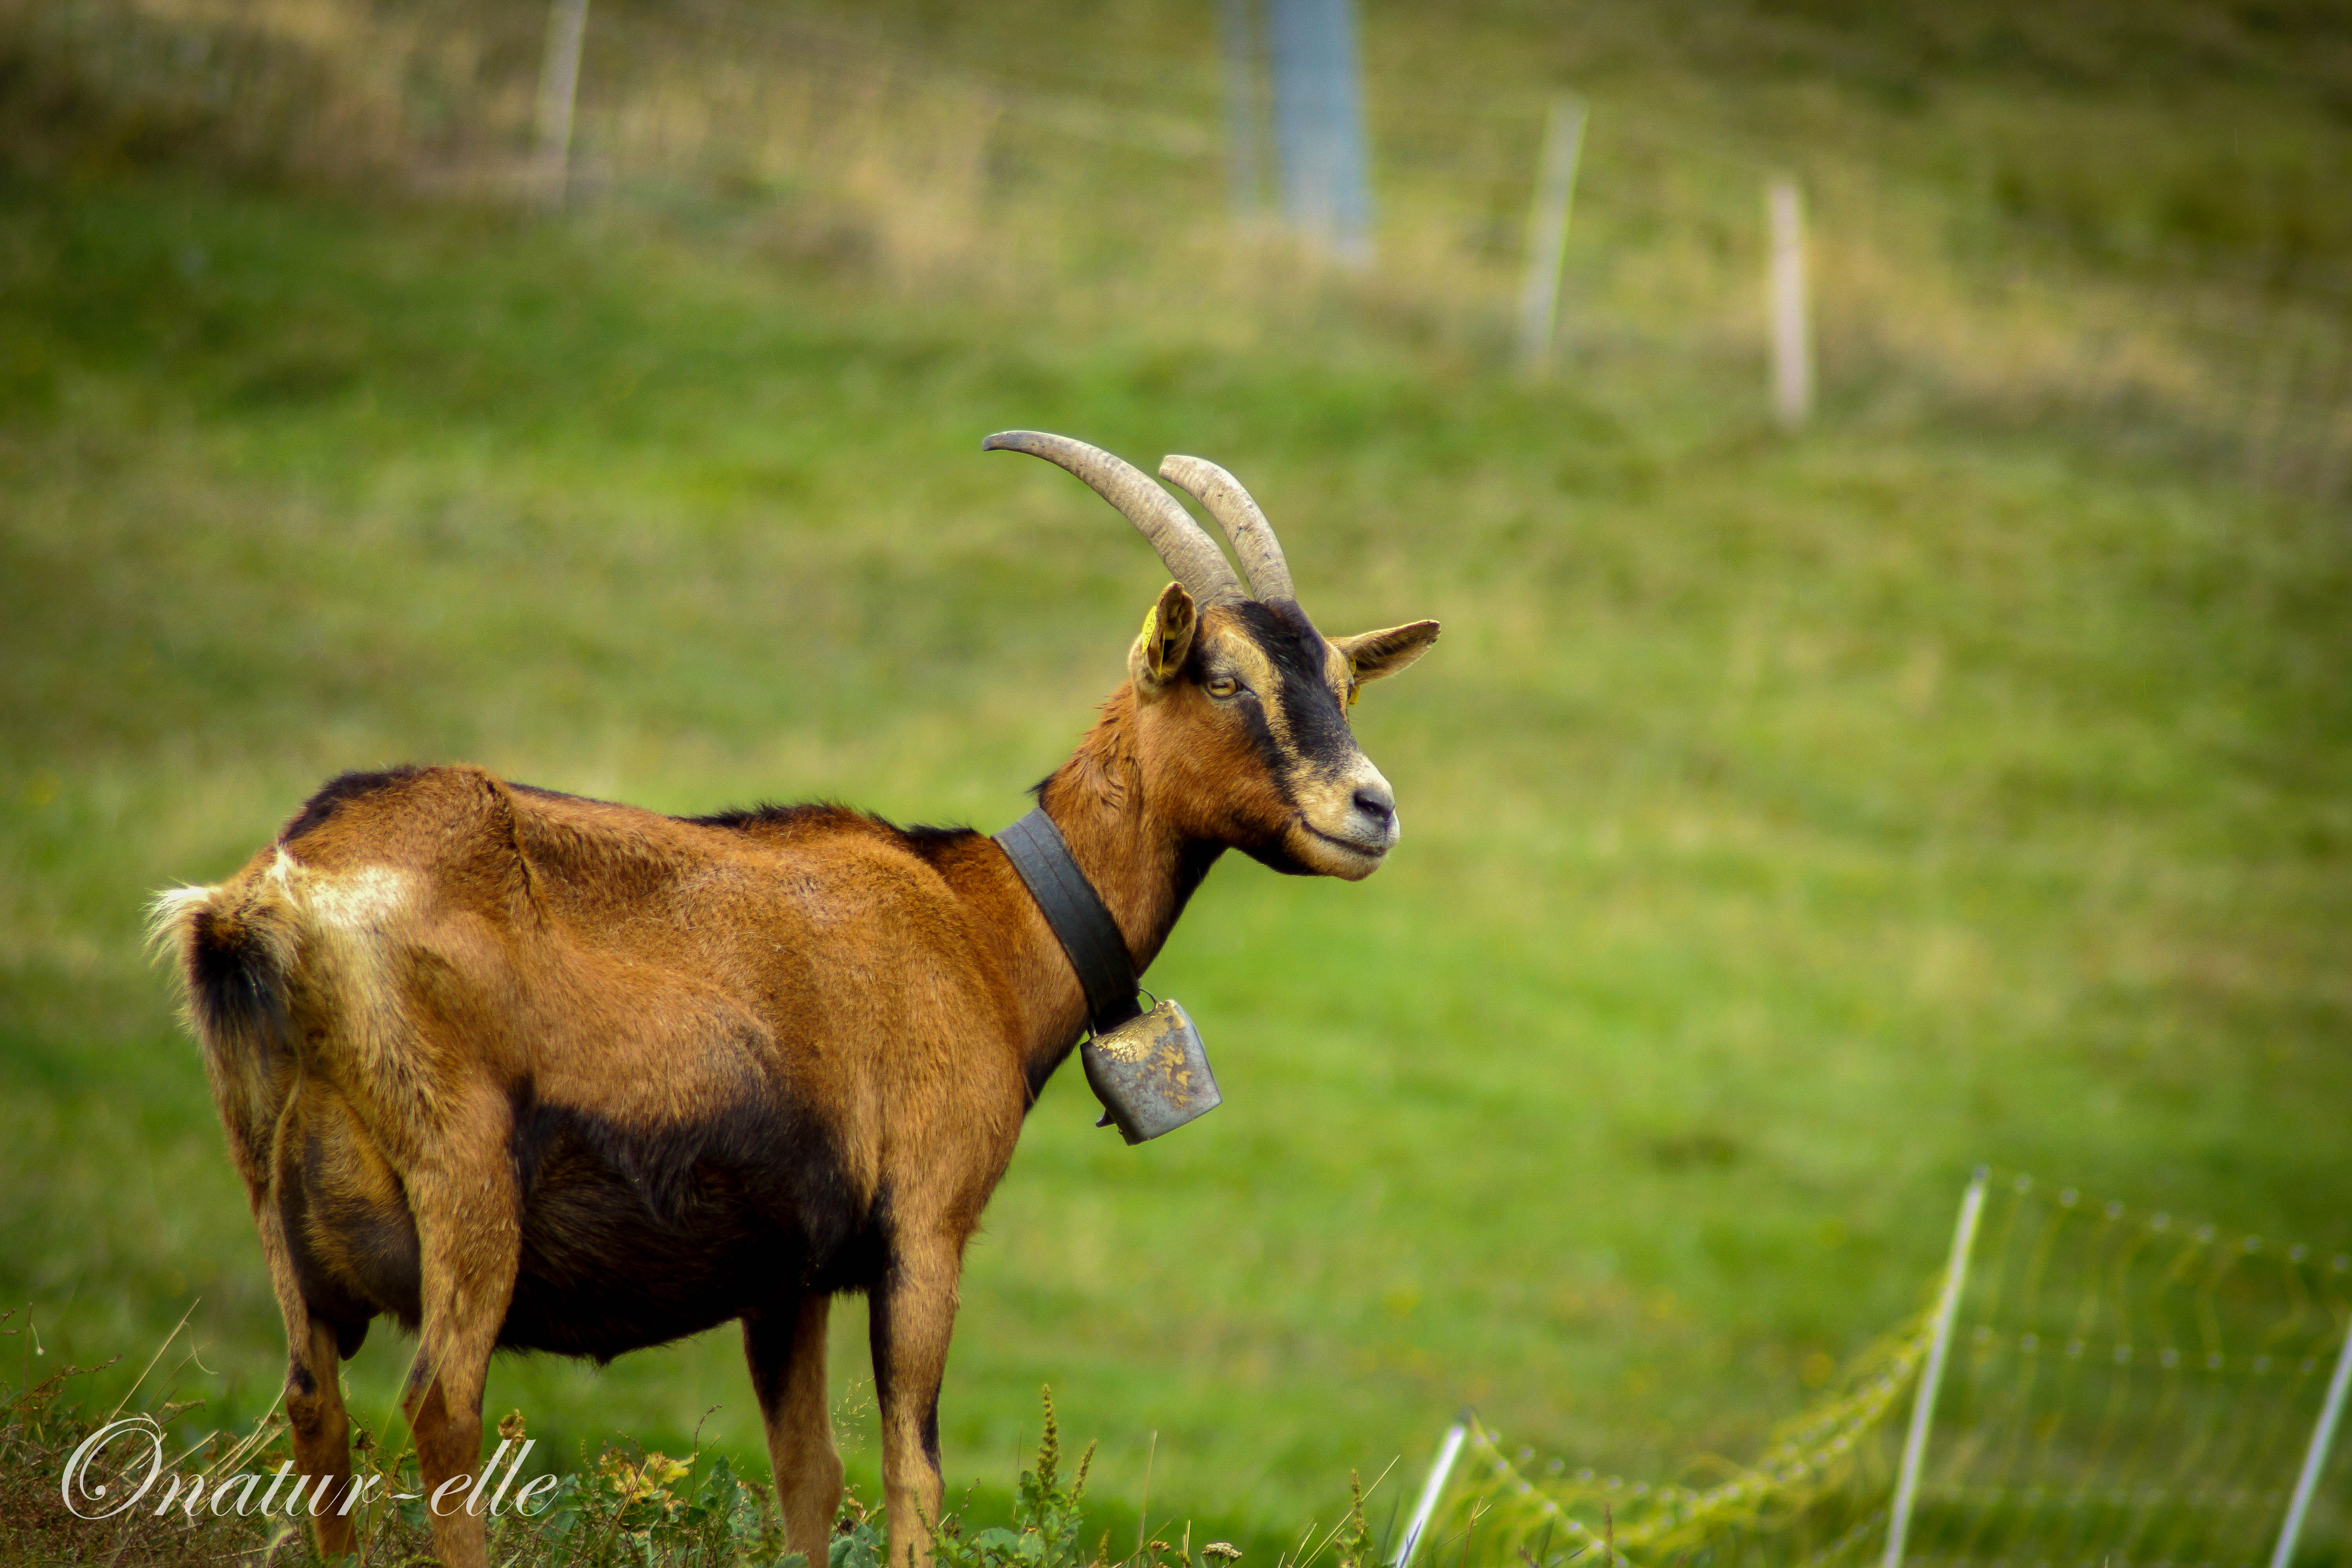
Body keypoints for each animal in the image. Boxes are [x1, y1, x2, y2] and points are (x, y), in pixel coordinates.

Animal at [156, 435, 1430, 1568]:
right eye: (1222, 678)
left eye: (1341, 683)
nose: (1371, 808)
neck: (985, 923)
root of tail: (270, 899)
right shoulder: (922, 1222)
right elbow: (912, 1471)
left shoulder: (783, 1272)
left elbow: (806, 1473)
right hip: (460, 1174)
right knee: (441, 1402)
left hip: (272, 1183)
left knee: (313, 1402)